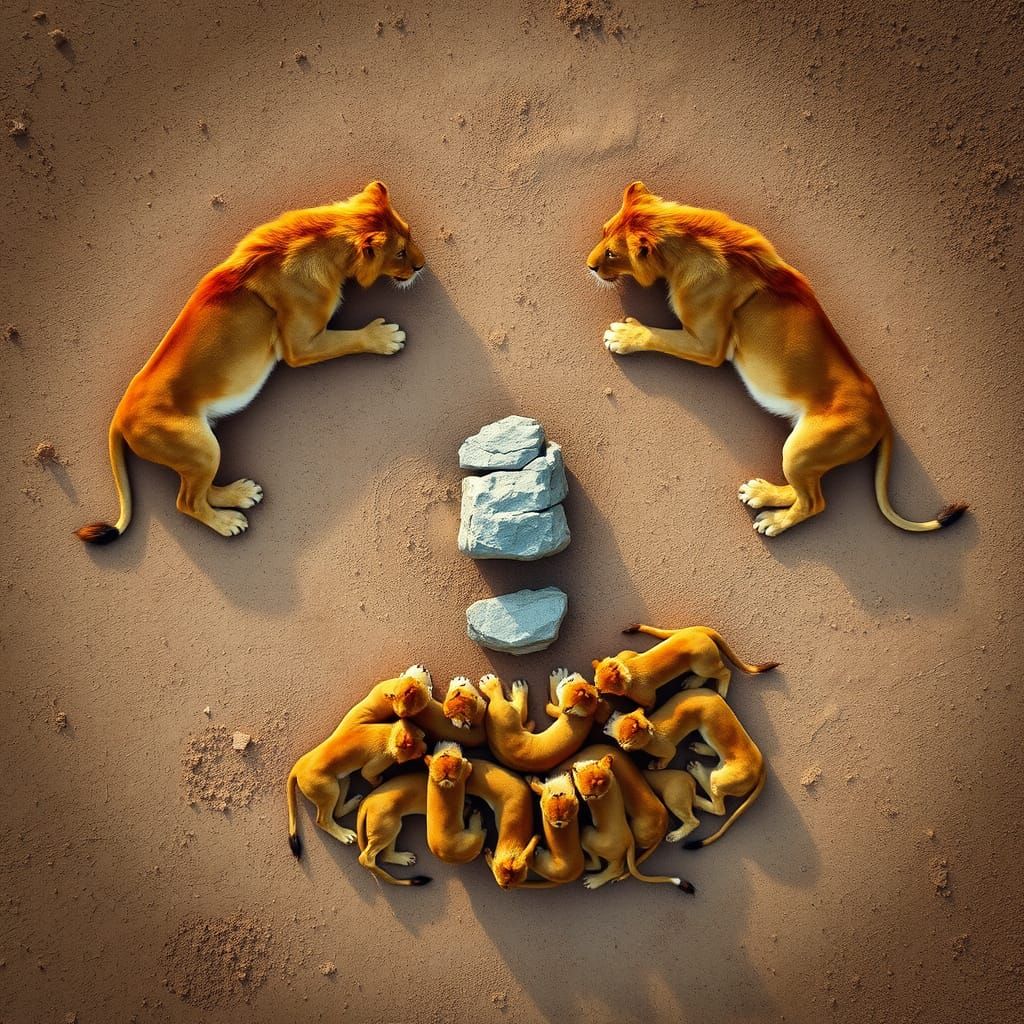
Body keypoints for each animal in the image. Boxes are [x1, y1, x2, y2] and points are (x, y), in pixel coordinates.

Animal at [77, 181, 424, 543]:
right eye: (400, 252)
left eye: (410, 233)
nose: (421, 266)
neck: (321, 237)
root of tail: (119, 418)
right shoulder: (299, 347)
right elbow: (348, 340)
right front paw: (384, 337)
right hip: (200, 446)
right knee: (187, 501)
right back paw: (229, 522)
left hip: (203, 448)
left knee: (200, 491)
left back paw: (242, 493)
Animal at [286, 717, 426, 857]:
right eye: (419, 753)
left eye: (423, 736)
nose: (426, 750)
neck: (389, 735)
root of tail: (296, 768)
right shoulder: (374, 766)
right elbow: (372, 778)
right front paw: (380, 781)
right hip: (329, 789)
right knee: (323, 820)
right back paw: (344, 835)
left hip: (342, 780)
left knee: (337, 812)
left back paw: (353, 803)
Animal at [589, 182, 967, 536]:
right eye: (603, 231)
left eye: (611, 252)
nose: (589, 266)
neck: (689, 238)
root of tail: (883, 417)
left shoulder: (709, 346)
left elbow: (660, 335)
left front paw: (623, 336)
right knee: (804, 492)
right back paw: (759, 493)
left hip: (800, 449)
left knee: (814, 502)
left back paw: (772, 520)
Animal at [593, 623, 777, 704]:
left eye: (601, 689)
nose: (595, 691)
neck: (627, 670)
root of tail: (705, 633)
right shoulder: (625, 654)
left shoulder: (647, 696)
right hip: (682, 636)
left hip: (703, 664)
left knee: (725, 671)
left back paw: (721, 691)